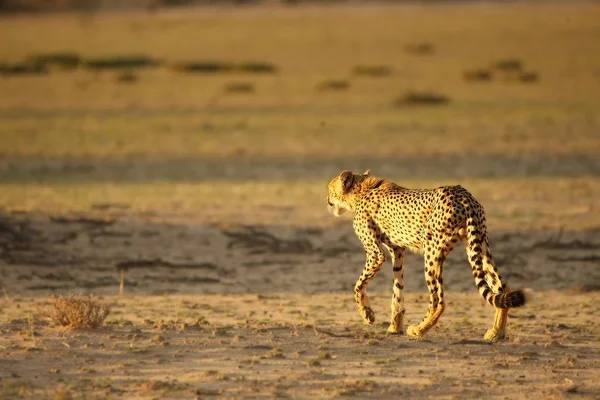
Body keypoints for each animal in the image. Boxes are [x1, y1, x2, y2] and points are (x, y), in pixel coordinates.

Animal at [326, 169, 528, 340]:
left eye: (330, 190)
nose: (327, 201)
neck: (361, 190)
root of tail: (463, 195)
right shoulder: (398, 250)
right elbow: (397, 290)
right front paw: (394, 327)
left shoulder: (376, 253)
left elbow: (358, 286)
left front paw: (367, 314)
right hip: (478, 245)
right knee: (501, 287)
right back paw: (496, 332)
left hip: (432, 251)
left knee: (439, 300)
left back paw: (419, 329)